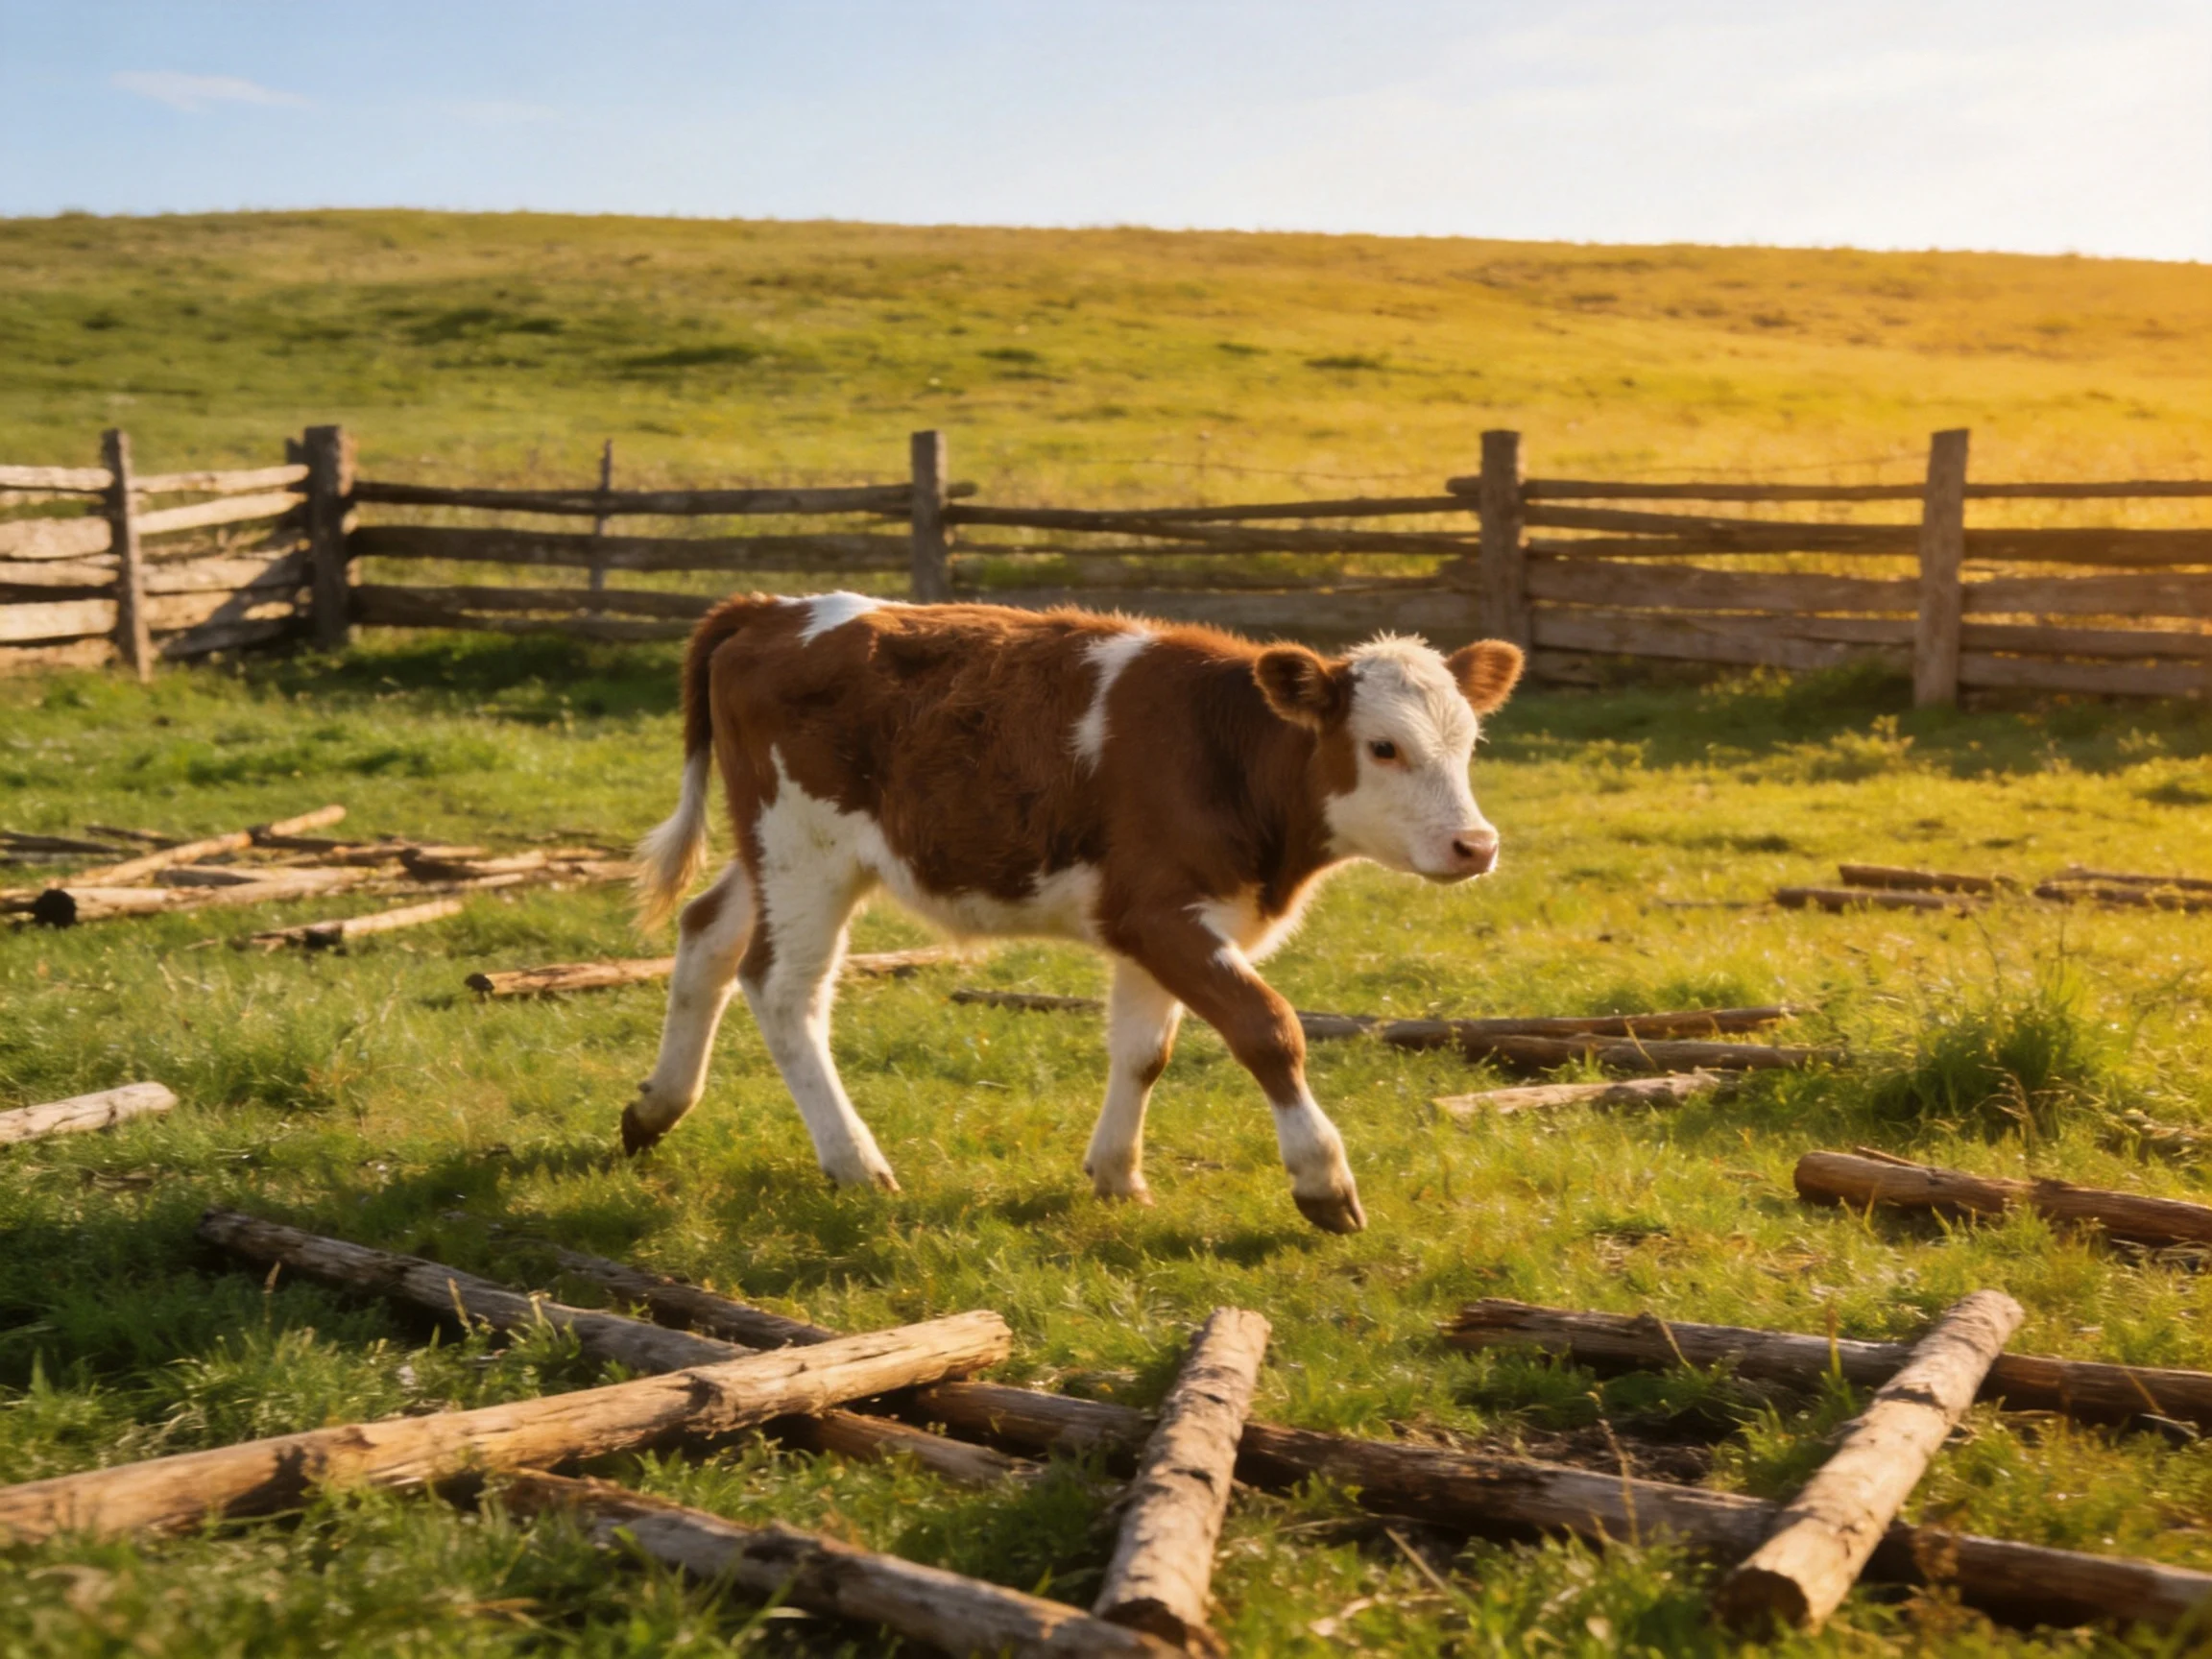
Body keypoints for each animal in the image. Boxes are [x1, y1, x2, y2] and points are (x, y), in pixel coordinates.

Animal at [623, 593, 1524, 1233]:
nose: (1476, 845)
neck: (1223, 750)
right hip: (806, 852)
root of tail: (769, 608)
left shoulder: (1159, 925)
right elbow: (1267, 1026)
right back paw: (853, 1161)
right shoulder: (1159, 913)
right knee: (783, 989)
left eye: (1469, 743)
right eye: (1383, 747)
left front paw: (1118, 1174)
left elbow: (1144, 1052)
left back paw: (656, 1108)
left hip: (767, 853)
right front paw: (1323, 1179)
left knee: (706, 933)